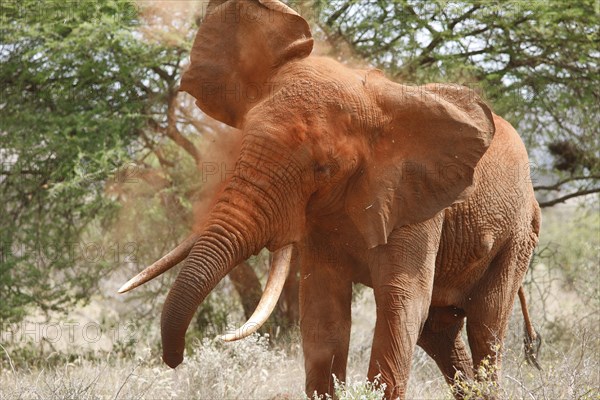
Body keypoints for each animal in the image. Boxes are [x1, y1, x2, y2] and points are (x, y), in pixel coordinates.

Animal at [119, 1, 540, 398]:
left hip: (519, 236)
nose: (175, 360)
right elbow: (323, 310)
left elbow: (400, 303)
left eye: (323, 169)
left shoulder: (415, 203)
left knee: (485, 325)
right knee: (438, 332)